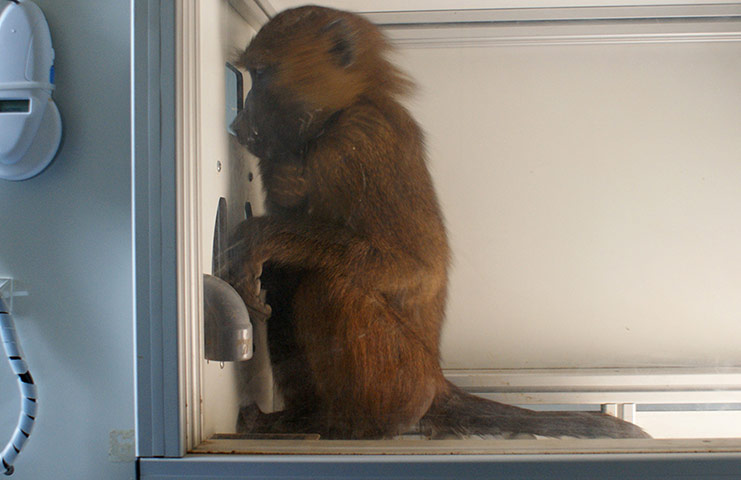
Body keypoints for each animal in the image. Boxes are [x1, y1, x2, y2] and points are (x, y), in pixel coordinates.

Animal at [228, 5, 649, 440]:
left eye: (261, 74)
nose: (237, 126)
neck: (349, 107)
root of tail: (436, 378)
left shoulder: (355, 144)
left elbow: (415, 267)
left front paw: (259, 236)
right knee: (287, 276)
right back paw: (304, 416)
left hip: (404, 379)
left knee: (330, 285)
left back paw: (358, 425)